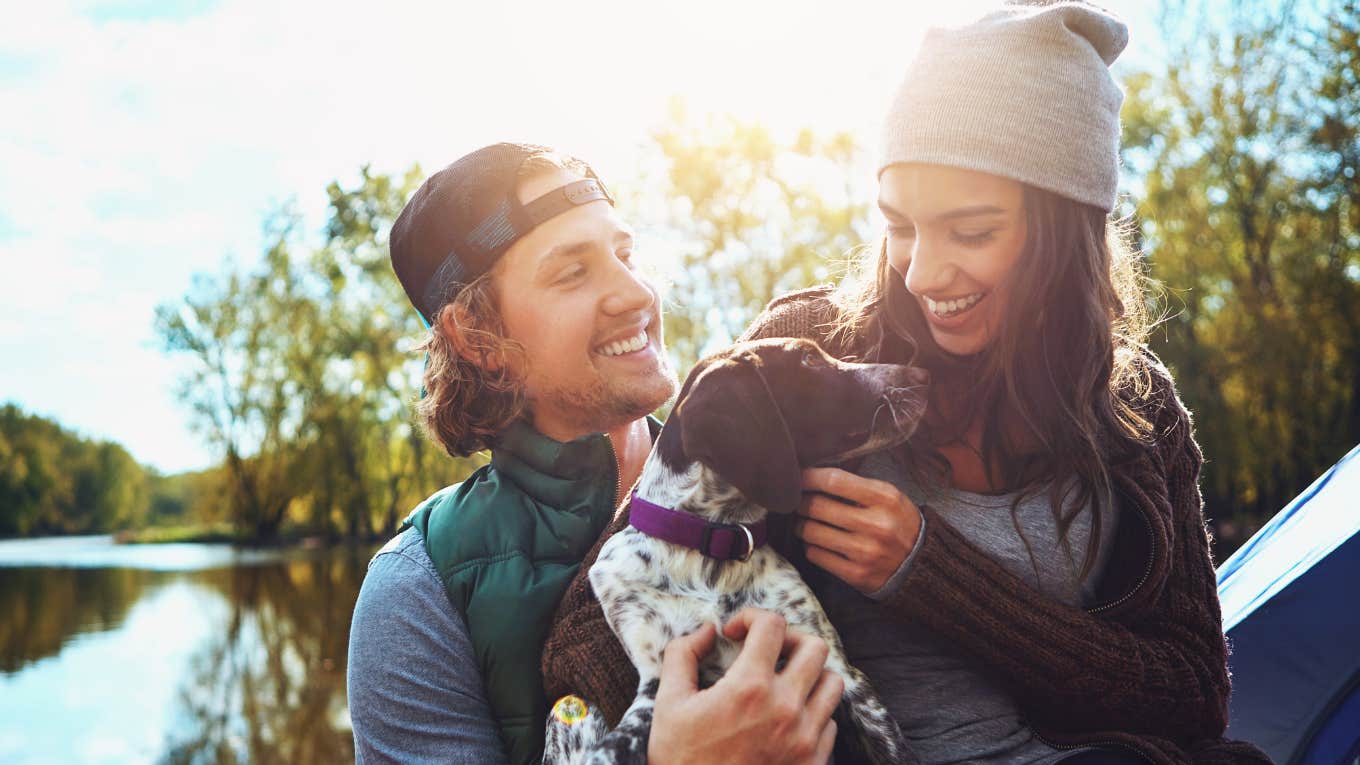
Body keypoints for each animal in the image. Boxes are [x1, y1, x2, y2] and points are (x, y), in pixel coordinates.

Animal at [541, 336, 924, 756]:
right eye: (808, 359)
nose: (921, 375)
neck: (712, 544)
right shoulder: (657, 685)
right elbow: (611, 749)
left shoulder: (842, 673)